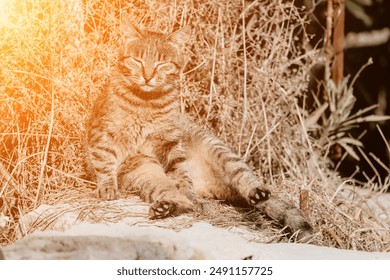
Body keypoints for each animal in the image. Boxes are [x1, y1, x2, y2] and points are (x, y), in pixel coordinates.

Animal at [85, 24, 310, 237]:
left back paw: (252, 192)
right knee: (174, 195)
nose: (147, 77)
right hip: (145, 170)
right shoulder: (102, 135)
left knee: (240, 177)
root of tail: (206, 183)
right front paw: (107, 187)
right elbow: (105, 162)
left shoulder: (170, 142)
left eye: (162, 63)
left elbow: (182, 177)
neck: (146, 101)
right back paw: (166, 206)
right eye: (137, 60)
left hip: (219, 150)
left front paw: (189, 191)